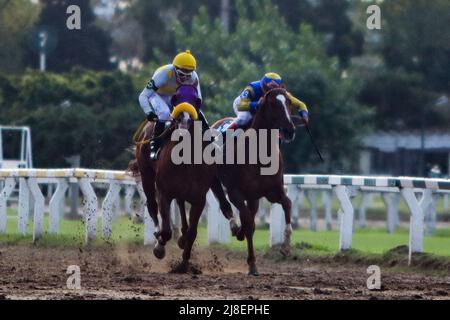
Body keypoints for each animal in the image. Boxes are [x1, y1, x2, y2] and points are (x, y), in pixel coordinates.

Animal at [129, 85, 237, 270]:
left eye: (196, 100)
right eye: (176, 97)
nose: (184, 121)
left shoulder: (199, 198)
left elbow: (193, 232)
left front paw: (184, 263)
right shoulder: (164, 192)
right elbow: (165, 231)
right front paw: (160, 247)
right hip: (146, 174)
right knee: (152, 205)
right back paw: (159, 237)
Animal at [213, 87, 298, 276]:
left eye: (289, 102)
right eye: (273, 103)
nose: (290, 130)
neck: (259, 154)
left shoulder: (272, 191)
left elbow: (287, 203)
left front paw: (286, 246)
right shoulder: (235, 192)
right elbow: (248, 222)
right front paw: (252, 263)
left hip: (253, 197)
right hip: (215, 182)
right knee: (225, 205)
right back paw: (234, 226)